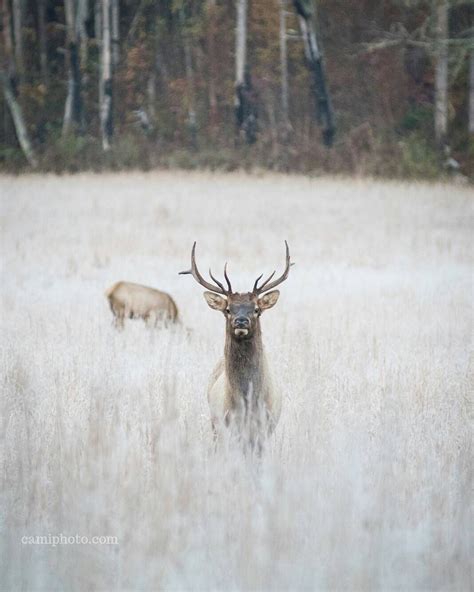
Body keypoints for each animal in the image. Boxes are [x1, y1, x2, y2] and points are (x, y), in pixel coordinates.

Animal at [181, 243, 292, 450]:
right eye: (227, 309)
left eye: (256, 309)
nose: (241, 321)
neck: (247, 404)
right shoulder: (227, 426)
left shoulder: (264, 428)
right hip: (214, 424)